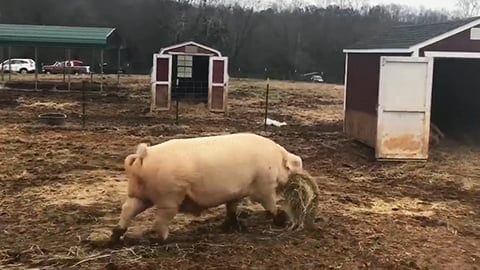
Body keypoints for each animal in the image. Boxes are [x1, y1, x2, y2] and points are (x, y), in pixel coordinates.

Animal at [110, 132, 302, 242]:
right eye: (296, 166)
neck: (276, 160)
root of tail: (144, 155)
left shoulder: (235, 193)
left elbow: (232, 208)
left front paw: (233, 227)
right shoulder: (264, 186)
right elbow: (270, 204)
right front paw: (282, 220)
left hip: (140, 195)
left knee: (127, 209)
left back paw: (115, 238)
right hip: (169, 197)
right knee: (160, 220)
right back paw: (165, 240)